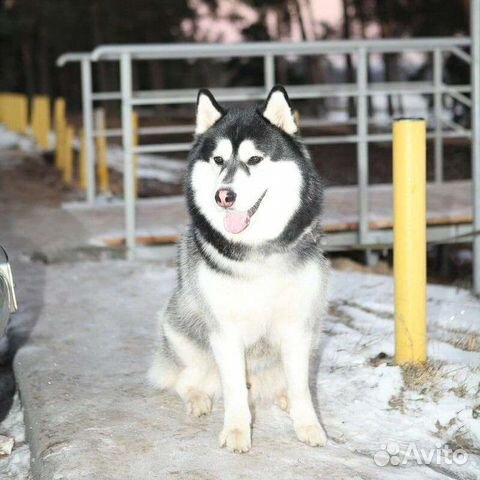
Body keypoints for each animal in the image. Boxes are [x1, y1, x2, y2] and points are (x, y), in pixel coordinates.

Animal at [150, 87, 330, 454]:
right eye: (218, 161)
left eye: (255, 160)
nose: (224, 196)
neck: (258, 251)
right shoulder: (224, 332)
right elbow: (233, 389)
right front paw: (236, 431)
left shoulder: (297, 326)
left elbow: (302, 387)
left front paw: (308, 425)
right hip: (180, 327)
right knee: (184, 379)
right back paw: (198, 398)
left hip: (315, 331)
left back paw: (282, 396)